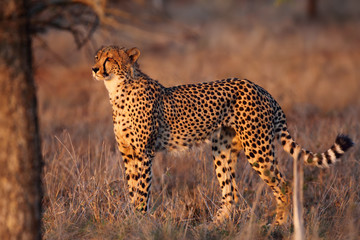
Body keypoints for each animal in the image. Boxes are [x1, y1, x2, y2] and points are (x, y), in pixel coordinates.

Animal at [91, 45, 352, 225]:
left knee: (284, 185)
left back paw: (278, 225)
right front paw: (130, 218)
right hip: (222, 149)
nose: (94, 69)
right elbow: (132, 188)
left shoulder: (144, 153)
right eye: (97, 57)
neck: (117, 89)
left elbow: (142, 190)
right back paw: (211, 227)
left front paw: (139, 221)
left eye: (110, 59)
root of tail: (262, 88)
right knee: (231, 194)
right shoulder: (128, 154)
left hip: (258, 148)